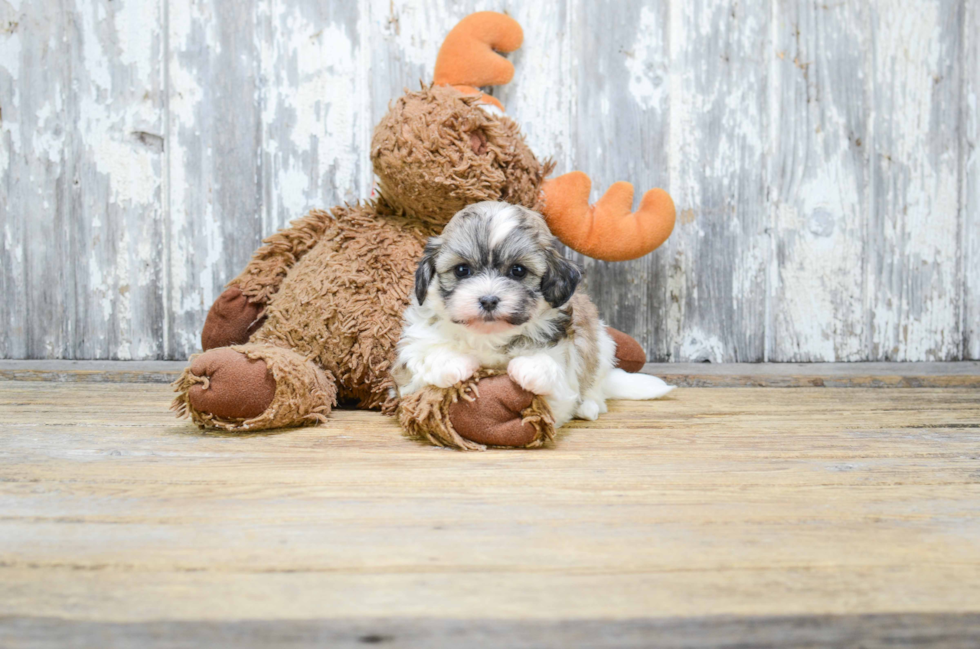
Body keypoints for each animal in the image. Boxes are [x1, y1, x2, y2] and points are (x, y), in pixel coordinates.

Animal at [392, 200, 672, 428]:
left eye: (518, 271)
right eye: (462, 270)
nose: (489, 299)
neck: (489, 336)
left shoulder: (564, 377)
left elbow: (552, 376)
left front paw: (532, 366)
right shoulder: (406, 373)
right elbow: (424, 357)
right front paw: (453, 362)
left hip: (602, 346)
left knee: (595, 386)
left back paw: (588, 406)